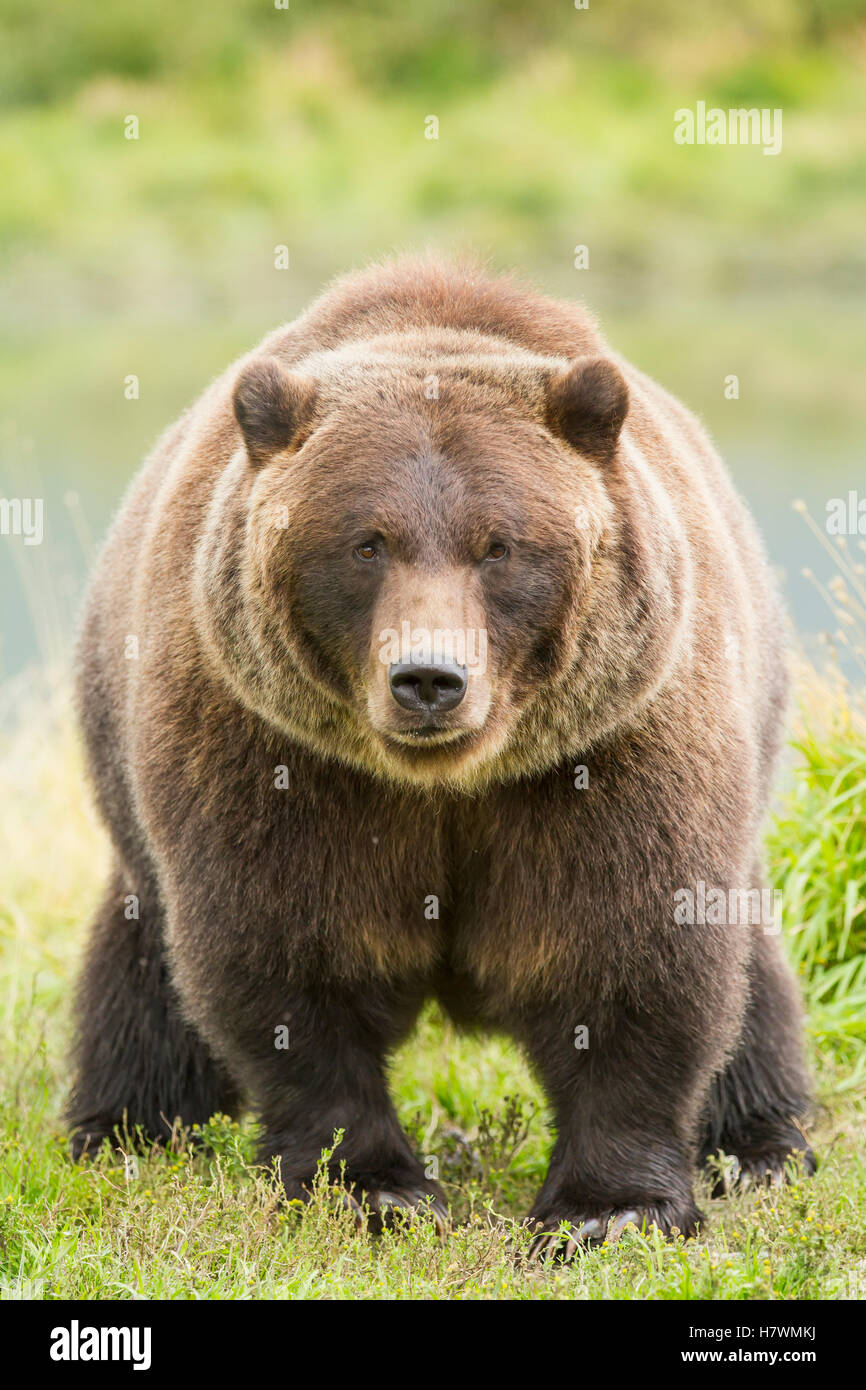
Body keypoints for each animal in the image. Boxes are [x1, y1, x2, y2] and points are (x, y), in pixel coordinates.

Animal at [67, 256, 814, 1252]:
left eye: (499, 545)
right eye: (366, 542)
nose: (429, 679)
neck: (448, 781)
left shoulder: (610, 750)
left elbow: (629, 946)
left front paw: (606, 1210)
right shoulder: (278, 754)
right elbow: (288, 952)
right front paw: (369, 1187)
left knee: (755, 988)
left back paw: (761, 1145)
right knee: (144, 973)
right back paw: (128, 1129)